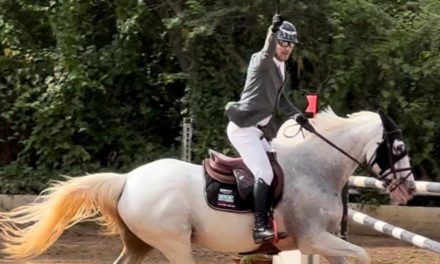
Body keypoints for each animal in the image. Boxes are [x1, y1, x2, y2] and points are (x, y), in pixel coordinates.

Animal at [0, 108, 416, 264]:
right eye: (398, 149)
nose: (410, 190)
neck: (315, 167)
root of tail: (127, 180)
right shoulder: (314, 239)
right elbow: (363, 255)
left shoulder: (323, 243)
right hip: (174, 243)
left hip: (140, 244)